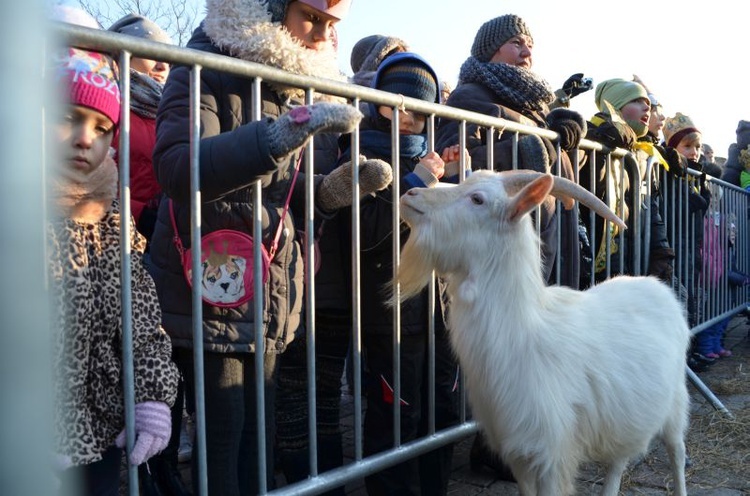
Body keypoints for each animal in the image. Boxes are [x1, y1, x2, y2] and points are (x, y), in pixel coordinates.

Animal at [396, 171, 692, 496]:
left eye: (477, 199)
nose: (410, 194)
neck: (524, 328)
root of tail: (656, 285)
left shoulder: (552, 452)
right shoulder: (518, 451)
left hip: (676, 400)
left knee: (677, 452)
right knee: (618, 461)